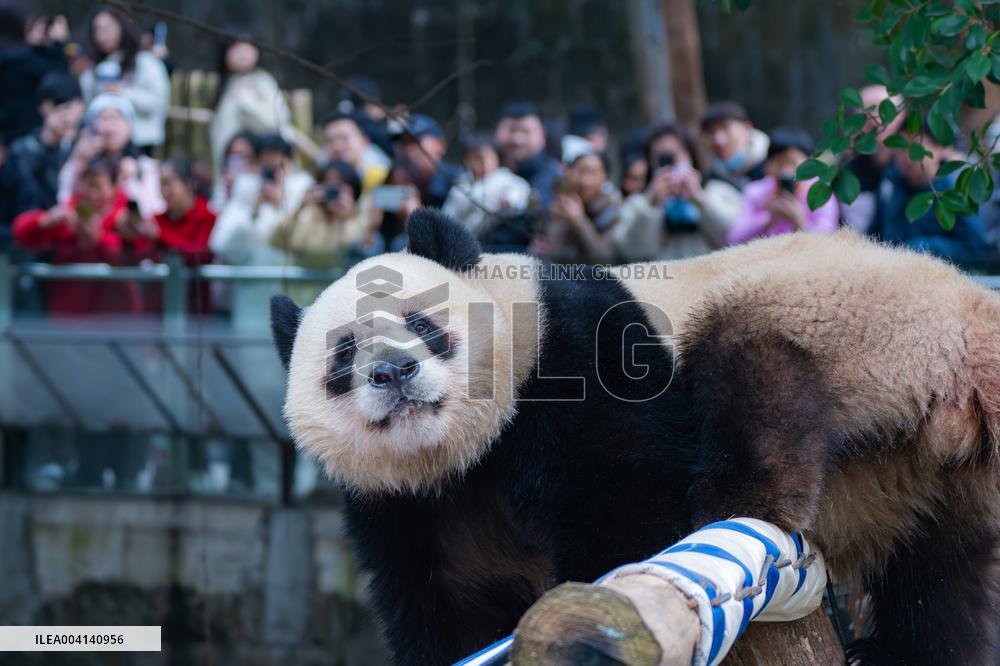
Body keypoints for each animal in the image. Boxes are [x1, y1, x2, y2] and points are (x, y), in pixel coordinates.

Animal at [271, 208, 1000, 666]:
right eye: (342, 356)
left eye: (422, 324)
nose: (394, 372)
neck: (466, 451)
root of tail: (971, 317)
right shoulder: (409, 505)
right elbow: (447, 603)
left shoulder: (572, 356)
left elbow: (623, 499)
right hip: (934, 475)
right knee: (943, 577)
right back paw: (898, 651)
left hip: (851, 322)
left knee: (759, 377)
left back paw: (737, 506)